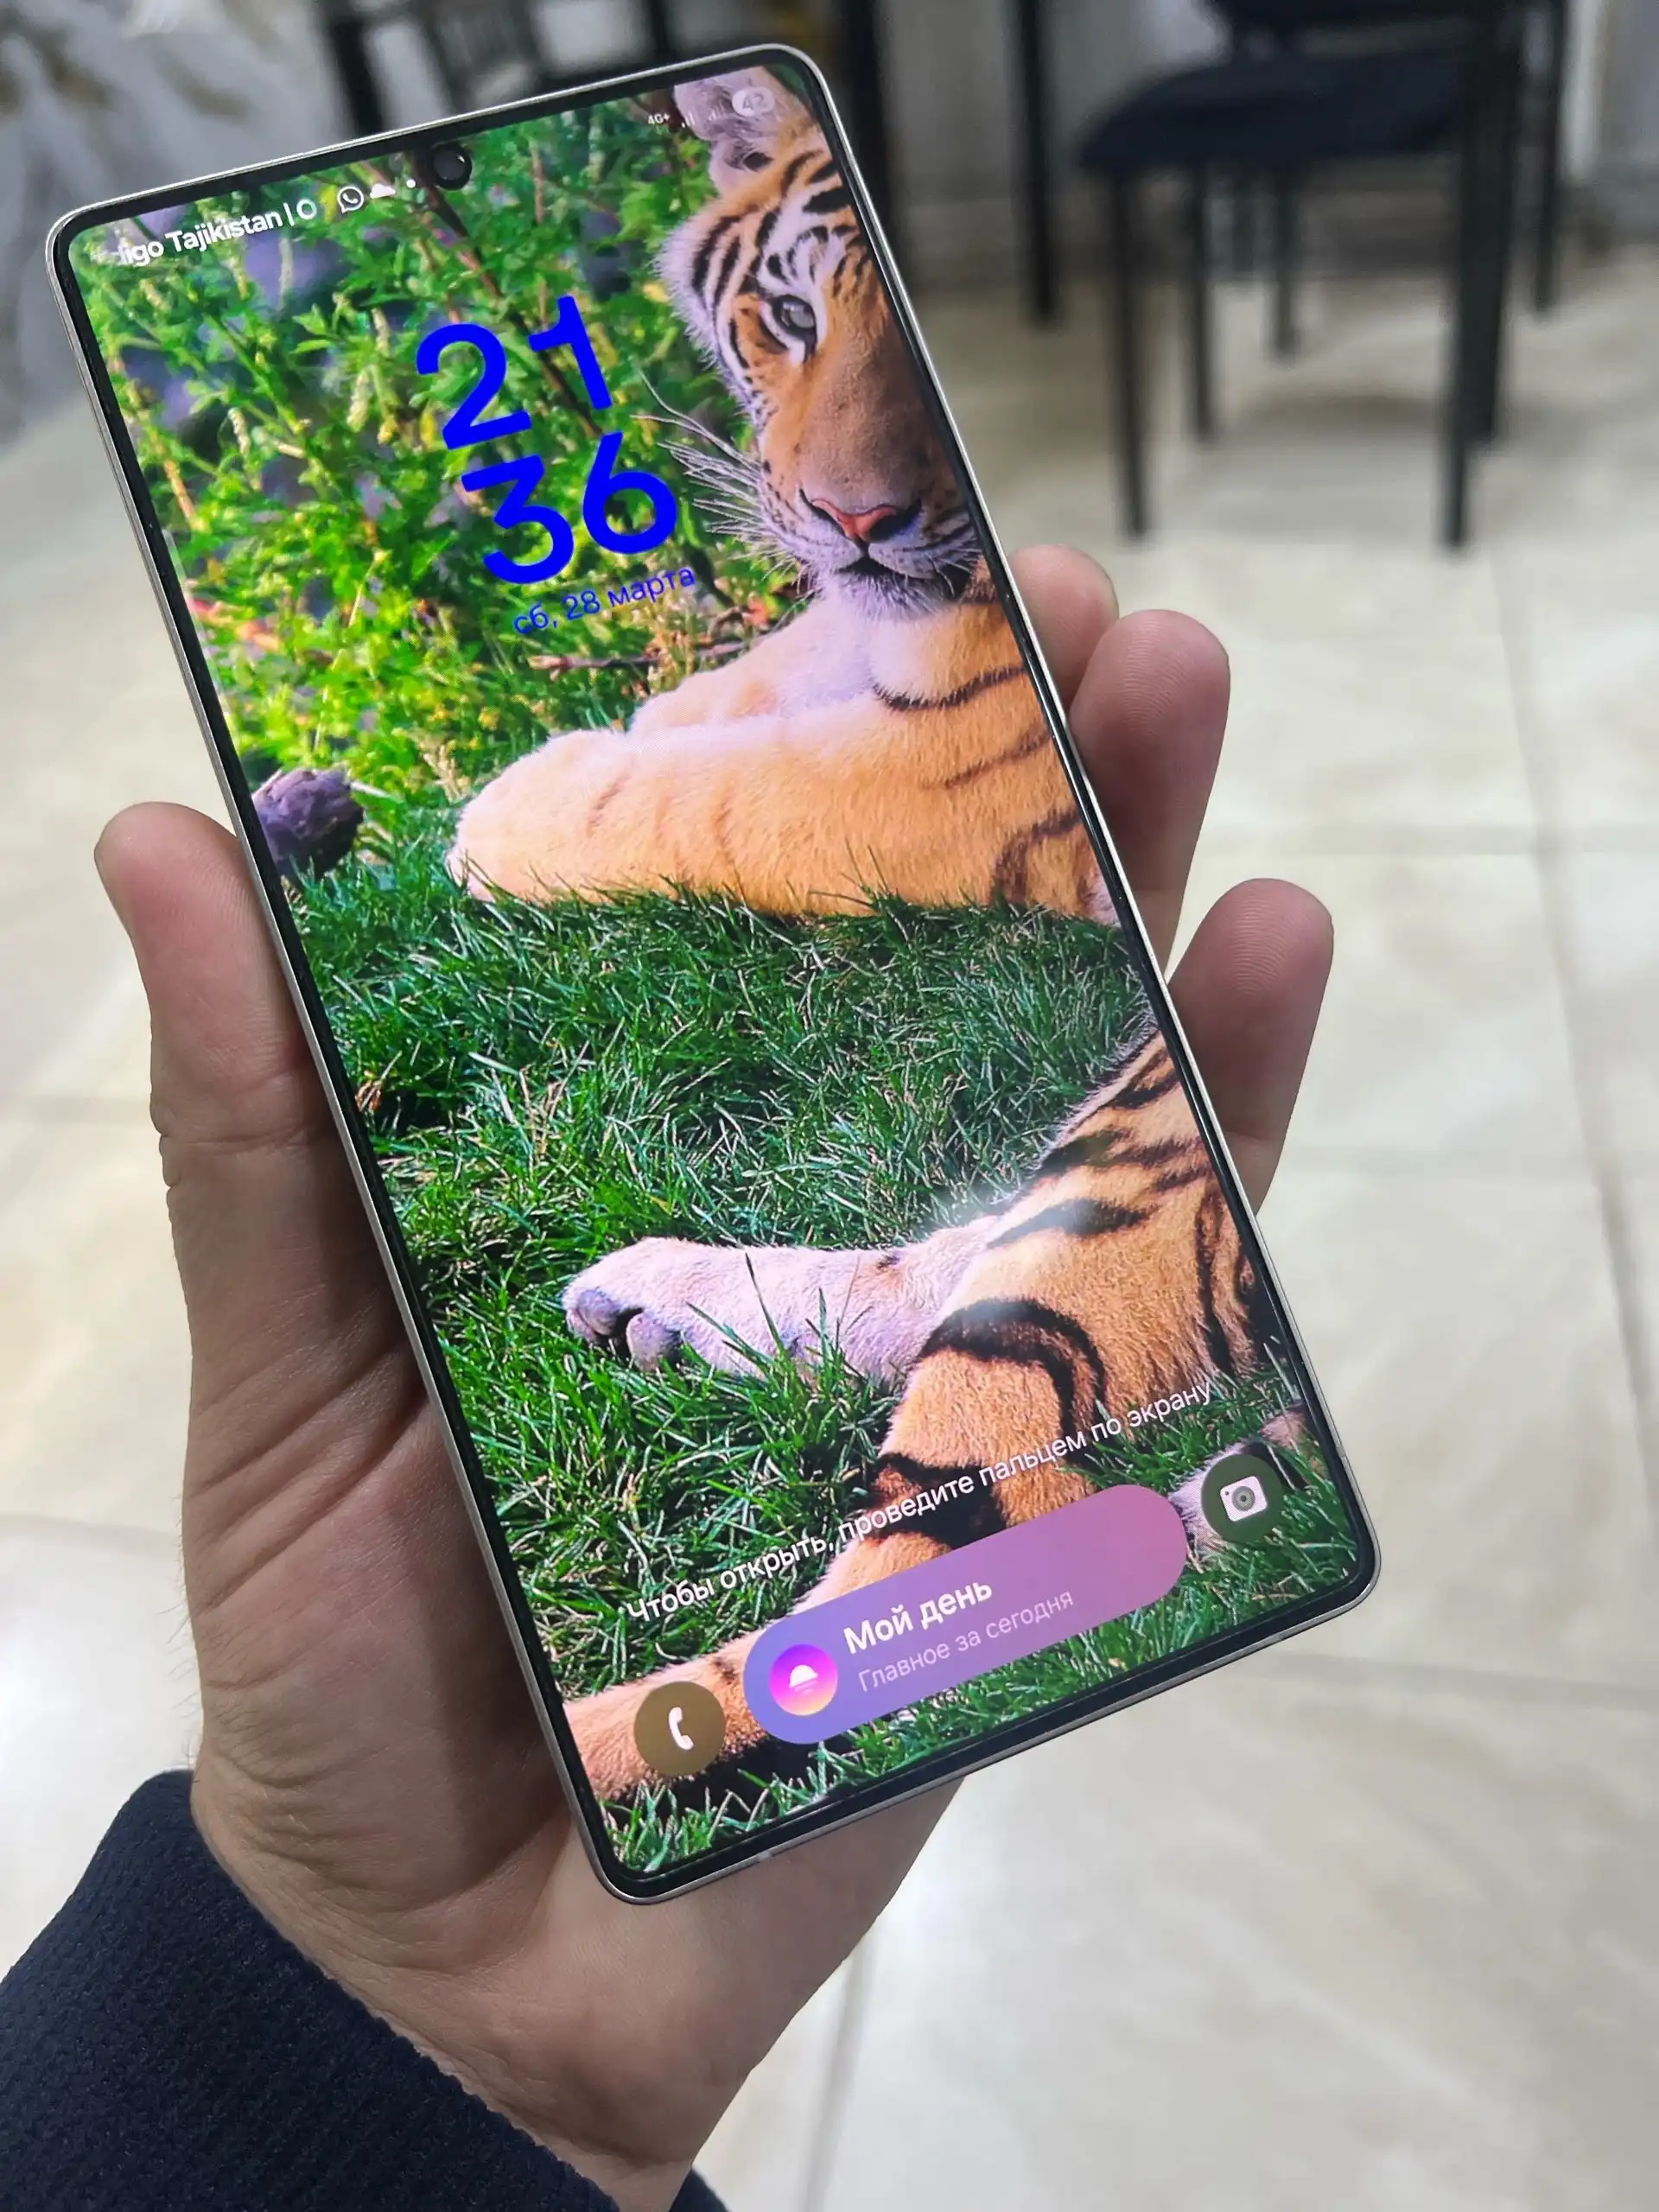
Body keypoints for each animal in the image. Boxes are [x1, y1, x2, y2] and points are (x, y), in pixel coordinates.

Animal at [444, 65, 1293, 1798]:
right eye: (786, 313)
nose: (858, 514)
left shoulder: (930, 772)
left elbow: (707, 798)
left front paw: (501, 816)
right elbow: (755, 672)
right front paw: (645, 712)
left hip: (1117, 1175)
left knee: (856, 1612)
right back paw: (658, 1305)